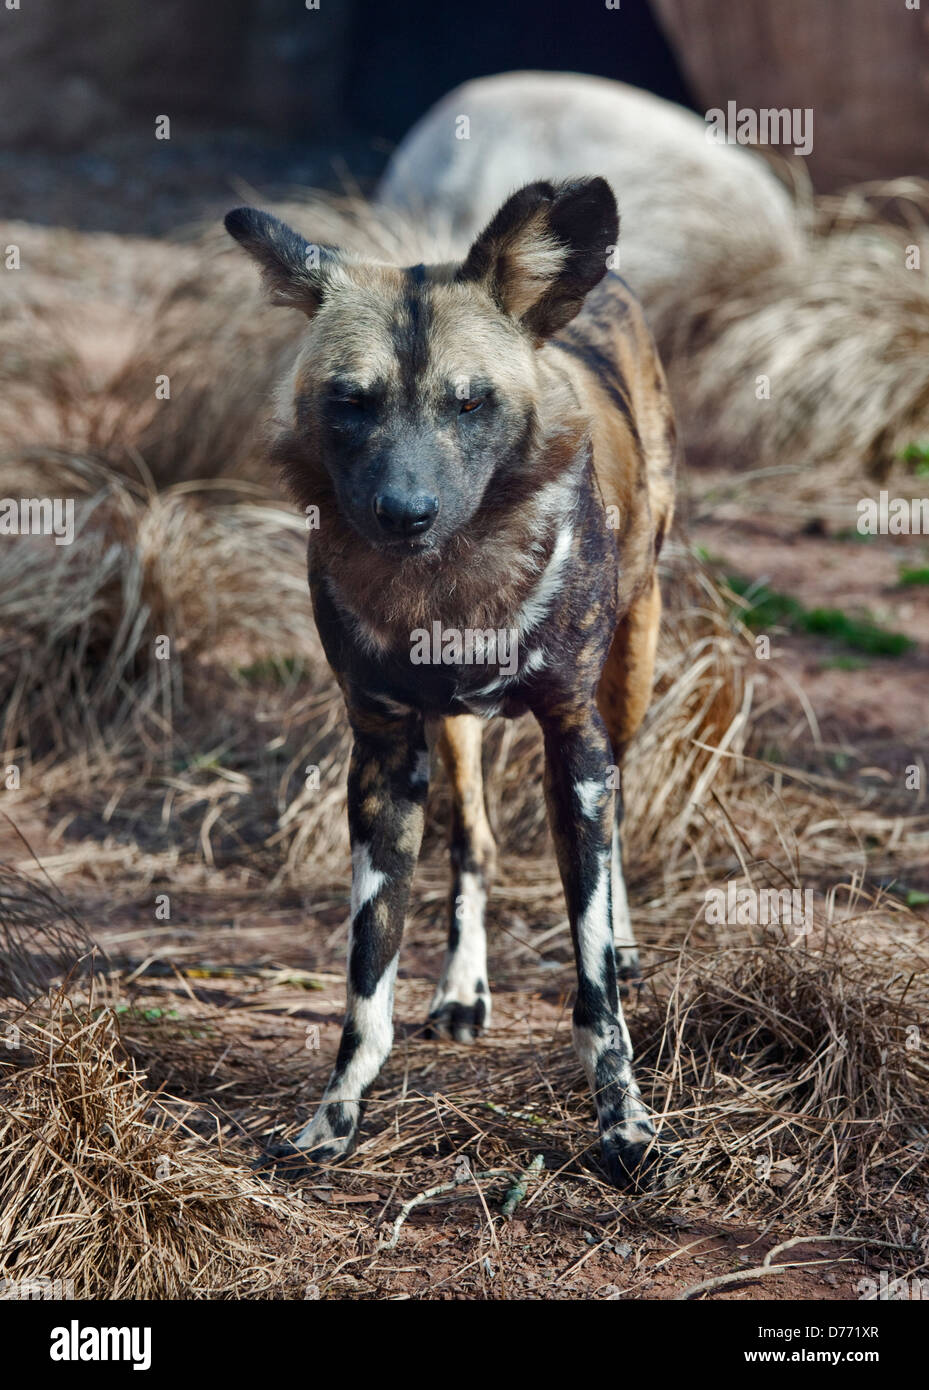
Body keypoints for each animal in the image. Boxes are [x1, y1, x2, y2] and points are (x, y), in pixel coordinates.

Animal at [225, 176, 675, 1184]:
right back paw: (464, 987)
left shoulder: (572, 740)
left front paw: (622, 1123)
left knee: (617, 820)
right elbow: (366, 979)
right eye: (351, 402)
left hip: (628, 676)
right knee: (473, 842)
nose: (405, 512)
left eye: (470, 404)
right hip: (457, 734)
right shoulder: (385, 751)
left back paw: (626, 942)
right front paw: (335, 1118)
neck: (451, 582)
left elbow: (592, 984)